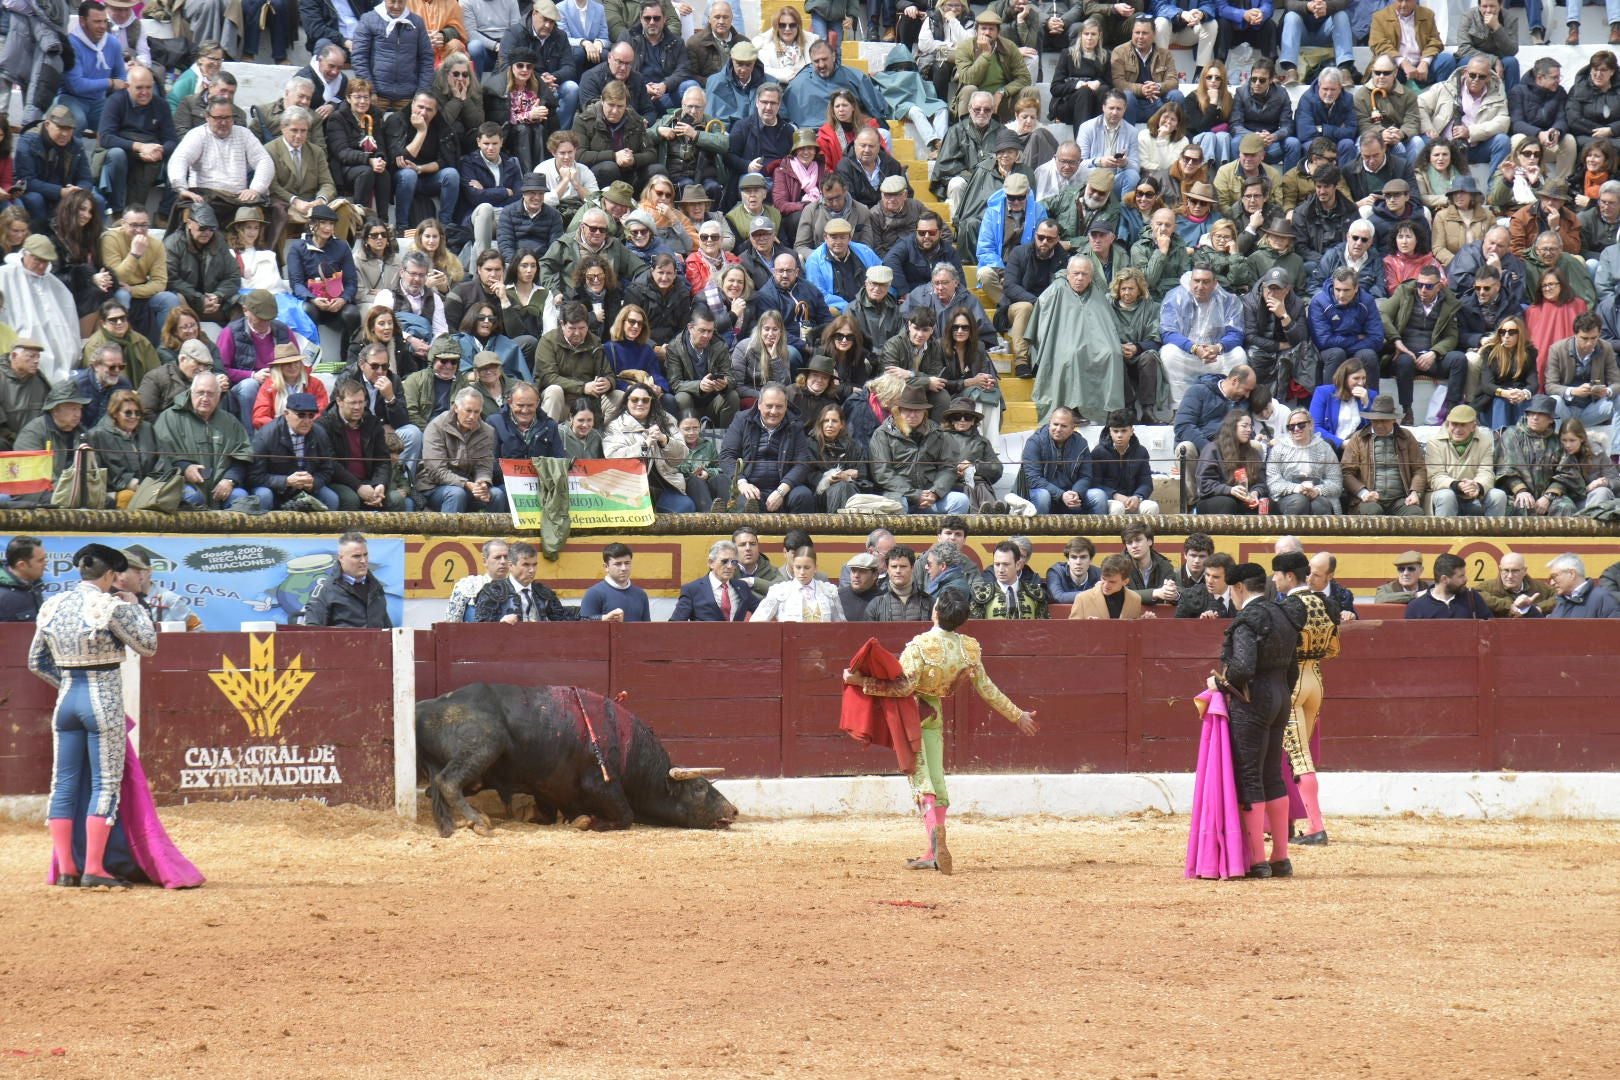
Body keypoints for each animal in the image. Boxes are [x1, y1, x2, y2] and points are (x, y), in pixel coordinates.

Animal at [421, 683, 741, 835]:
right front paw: (585, 822)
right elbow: (626, 816)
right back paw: (478, 821)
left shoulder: (548, 788)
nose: (734, 810)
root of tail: (427, 705)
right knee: (448, 782)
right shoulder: (601, 784)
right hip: (485, 745)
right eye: (699, 787)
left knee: (436, 788)